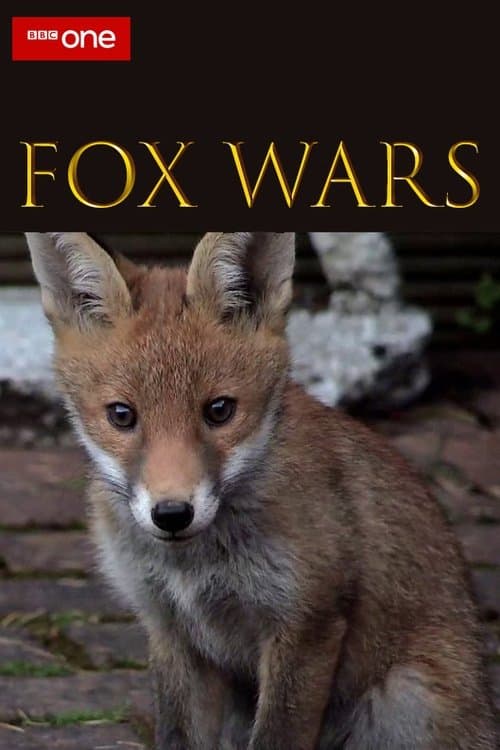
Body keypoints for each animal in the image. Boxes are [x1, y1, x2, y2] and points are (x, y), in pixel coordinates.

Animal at [25, 231, 496, 750]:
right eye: (122, 415)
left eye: (219, 410)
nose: (172, 513)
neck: (195, 570)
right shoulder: (168, 627)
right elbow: (177, 735)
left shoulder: (307, 624)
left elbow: (277, 734)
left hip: (405, 698)